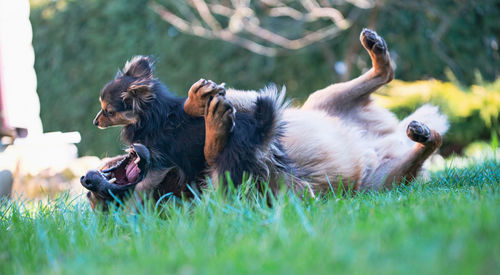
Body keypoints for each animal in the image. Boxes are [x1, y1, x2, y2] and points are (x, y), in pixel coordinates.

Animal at [82, 28, 450, 209]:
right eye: (101, 202)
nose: (86, 180)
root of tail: (387, 136)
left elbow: (205, 103)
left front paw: (200, 102)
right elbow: (219, 156)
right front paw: (215, 124)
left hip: (324, 97)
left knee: (386, 73)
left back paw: (377, 49)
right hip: (390, 180)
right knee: (434, 141)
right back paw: (422, 132)